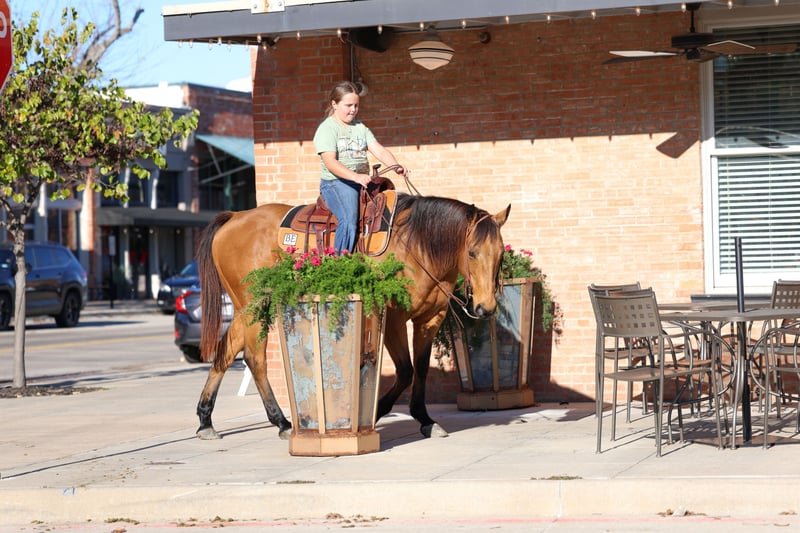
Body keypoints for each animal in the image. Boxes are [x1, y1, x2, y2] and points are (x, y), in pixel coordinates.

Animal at [195, 192, 510, 440]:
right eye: (472, 252)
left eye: (500, 255)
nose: (485, 307)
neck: (417, 246)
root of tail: (236, 217)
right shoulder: (394, 317)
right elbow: (405, 370)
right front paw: (377, 412)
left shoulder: (429, 319)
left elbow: (419, 369)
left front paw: (425, 420)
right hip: (255, 304)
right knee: (254, 358)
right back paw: (282, 422)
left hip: (243, 308)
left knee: (225, 352)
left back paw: (205, 421)